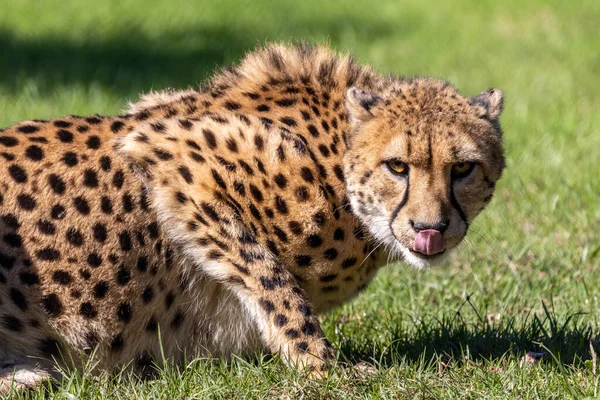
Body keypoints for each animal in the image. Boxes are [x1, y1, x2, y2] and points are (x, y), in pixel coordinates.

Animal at [0, 43, 504, 390]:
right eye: (397, 166)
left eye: (462, 168)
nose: (430, 228)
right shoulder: (176, 154)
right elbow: (272, 279)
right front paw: (323, 365)